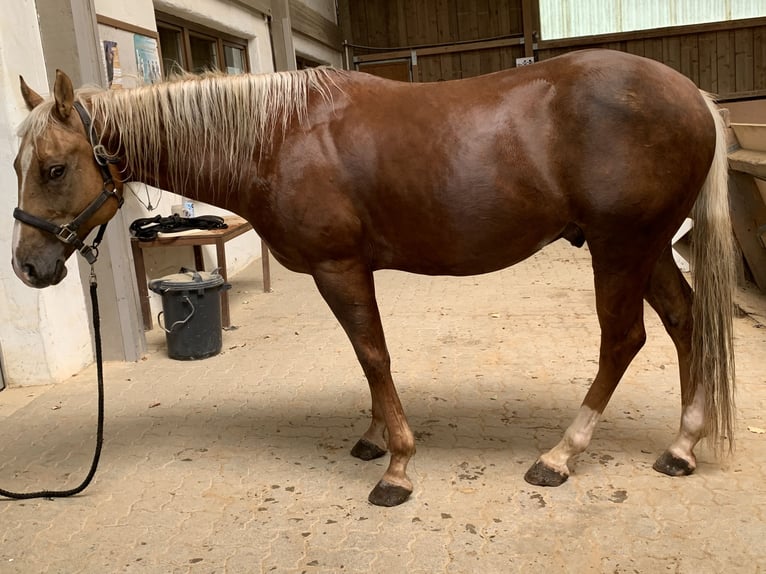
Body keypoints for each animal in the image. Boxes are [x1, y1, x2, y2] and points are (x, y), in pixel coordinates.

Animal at [11, 49, 736, 507]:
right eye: (19, 164)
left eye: (53, 167)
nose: (27, 266)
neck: (279, 136)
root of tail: (695, 98)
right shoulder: (349, 270)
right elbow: (367, 358)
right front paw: (375, 437)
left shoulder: (339, 268)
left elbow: (373, 354)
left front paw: (398, 467)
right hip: (648, 249)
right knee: (683, 320)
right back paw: (682, 445)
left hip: (620, 248)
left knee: (623, 340)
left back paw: (562, 454)